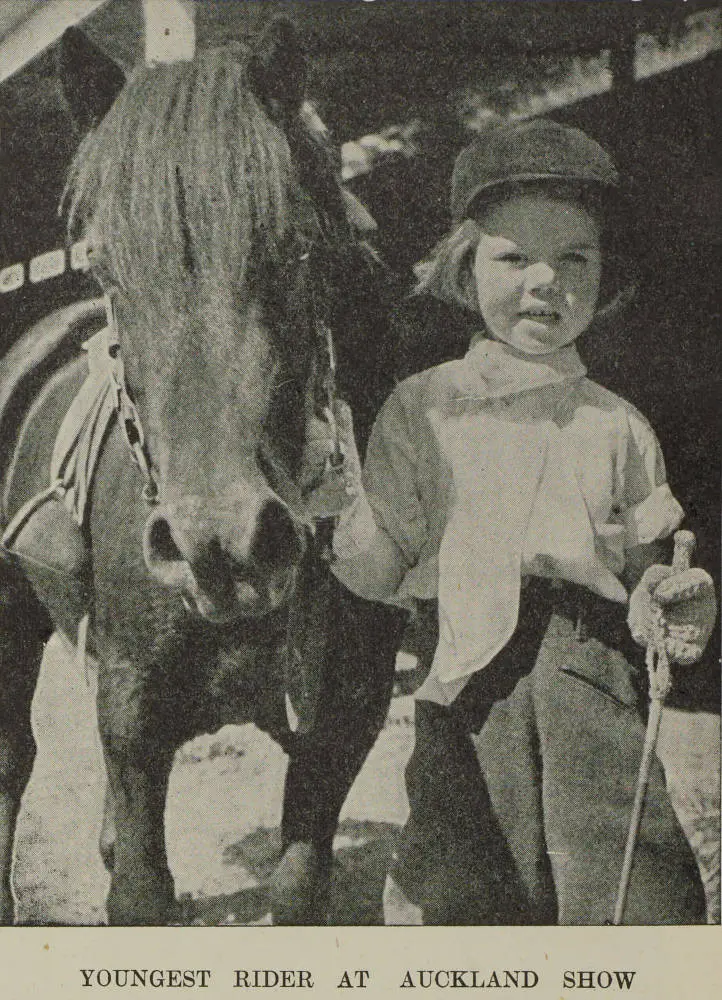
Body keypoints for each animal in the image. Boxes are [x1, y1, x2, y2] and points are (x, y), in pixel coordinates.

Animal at [0, 19, 400, 924]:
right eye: (106, 268)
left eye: (296, 249)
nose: (221, 543)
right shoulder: (133, 714)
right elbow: (138, 896)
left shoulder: (342, 725)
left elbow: (296, 888)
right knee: (11, 758)